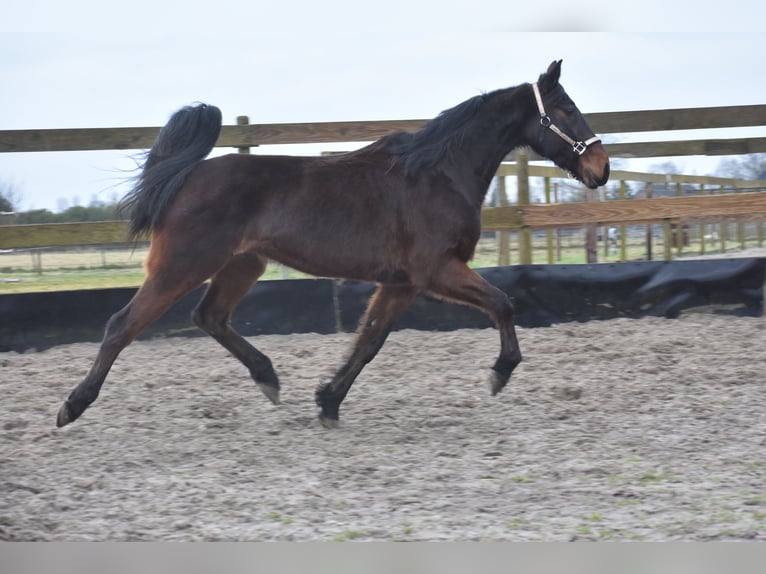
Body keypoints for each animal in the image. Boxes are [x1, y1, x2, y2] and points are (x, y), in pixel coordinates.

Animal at [57, 62, 612, 432]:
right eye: (567, 109)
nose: (601, 169)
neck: (436, 173)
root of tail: (186, 175)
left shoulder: (402, 283)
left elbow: (369, 340)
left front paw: (327, 401)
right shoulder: (436, 271)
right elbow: (503, 303)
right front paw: (499, 373)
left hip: (242, 265)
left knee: (209, 316)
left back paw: (269, 378)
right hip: (182, 265)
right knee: (121, 325)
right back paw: (71, 407)